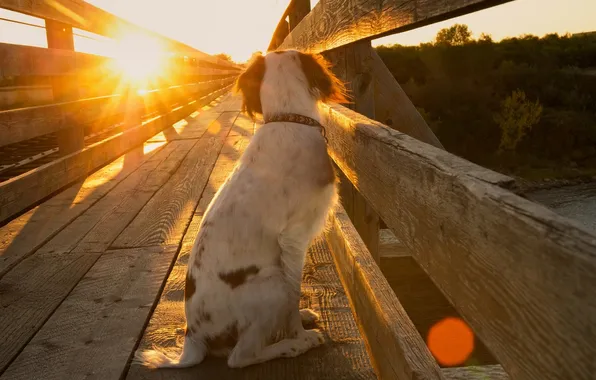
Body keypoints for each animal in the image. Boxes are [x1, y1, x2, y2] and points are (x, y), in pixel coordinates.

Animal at [134, 49, 350, 370]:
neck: (288, 120)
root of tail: (192, 338)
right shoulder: (293, 237)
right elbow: (295, 290)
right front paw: (299, 332)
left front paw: (301, 318)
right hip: (271, 283)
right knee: (240, 357)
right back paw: (295, 345)